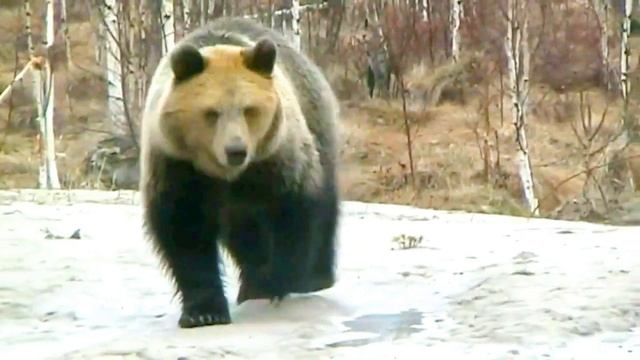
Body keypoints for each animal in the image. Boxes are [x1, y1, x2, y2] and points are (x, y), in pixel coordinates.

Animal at [139, 17, 340, 330]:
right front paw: (204, 311)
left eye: (249, 110)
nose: (236, 150)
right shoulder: (177, 165)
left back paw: (314, 278)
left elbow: (293, 210)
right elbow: (184, 230)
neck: (225, 175)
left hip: (315, 120)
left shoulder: (275, 157)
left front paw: (276, 280)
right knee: (245, 235)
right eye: (211, 112)